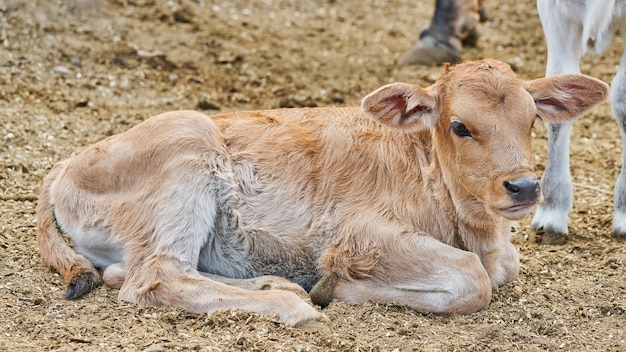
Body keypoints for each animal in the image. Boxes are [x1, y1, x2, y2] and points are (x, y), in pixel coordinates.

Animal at [36, 59, 608, 328]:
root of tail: (65, 164)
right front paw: (334, 289)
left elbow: (504, 268)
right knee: (153, 277)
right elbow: (474, 280)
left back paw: (276, 284)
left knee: (130, 271)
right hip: (187, 149)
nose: (524, 186)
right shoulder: (358, 235)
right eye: (460, 126)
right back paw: (292, 304)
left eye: (533, 120)